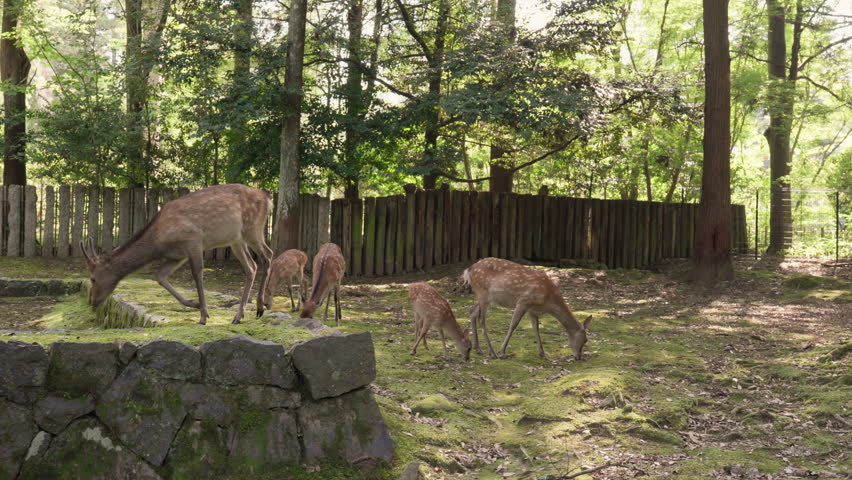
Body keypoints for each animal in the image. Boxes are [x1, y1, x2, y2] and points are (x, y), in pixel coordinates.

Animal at [81, 184, 273, 325]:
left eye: (93, 278)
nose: (92, 302)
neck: (158, 241)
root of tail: (268, 200)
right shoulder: (176, 256)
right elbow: (160, 276)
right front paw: (194, 304)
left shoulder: (193, 241)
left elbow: (197, 274)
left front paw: (203, 315)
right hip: (236, 240)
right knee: (252, 266)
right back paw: (245, 313)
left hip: (252, 228)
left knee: (267, 254)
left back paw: (259, 307)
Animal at [463, 257, 592, 360]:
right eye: (585, 340)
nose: (579, 356)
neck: (548, 300)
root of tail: (469, 269)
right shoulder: (523, 301)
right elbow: (513, 325)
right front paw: (502, 352)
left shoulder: (533, 310)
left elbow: (536, 329)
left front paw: (543, 355)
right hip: (482, 292)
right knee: (481, 319)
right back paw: (492, 353)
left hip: (484, 297)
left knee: (472, 311)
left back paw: (478, 349)